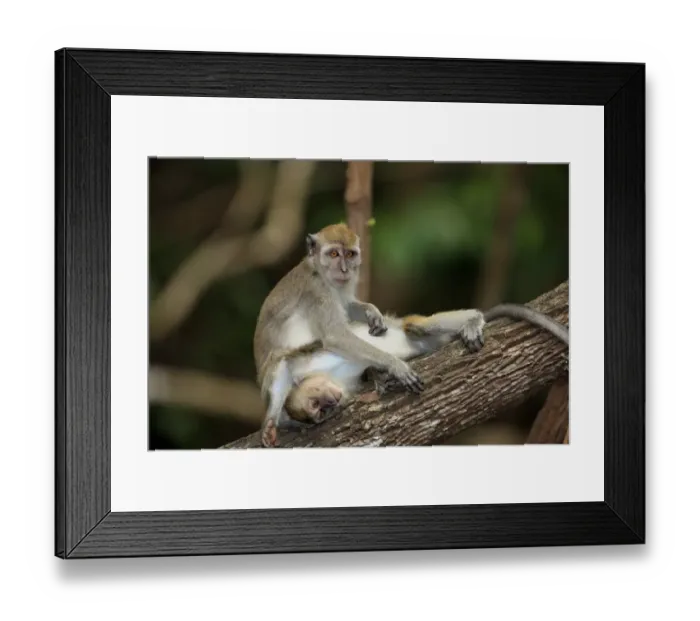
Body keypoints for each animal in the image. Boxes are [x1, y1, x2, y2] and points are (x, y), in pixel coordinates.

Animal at [252, 222, 424, 448]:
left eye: (350, 254)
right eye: (333, 254)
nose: (344, 269)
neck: (318, 271)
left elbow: (347, 306)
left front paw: (371, 311)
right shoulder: (316, 290)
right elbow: (335, 336)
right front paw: (394, 365)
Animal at [282, 303, 569, 425]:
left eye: (316, 402)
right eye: (318, 411)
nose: (328, 405)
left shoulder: (303, 359)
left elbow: (336, 339)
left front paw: (388, 370)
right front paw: (379, 377)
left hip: (412, 328)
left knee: (417, 326)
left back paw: (473, 319)